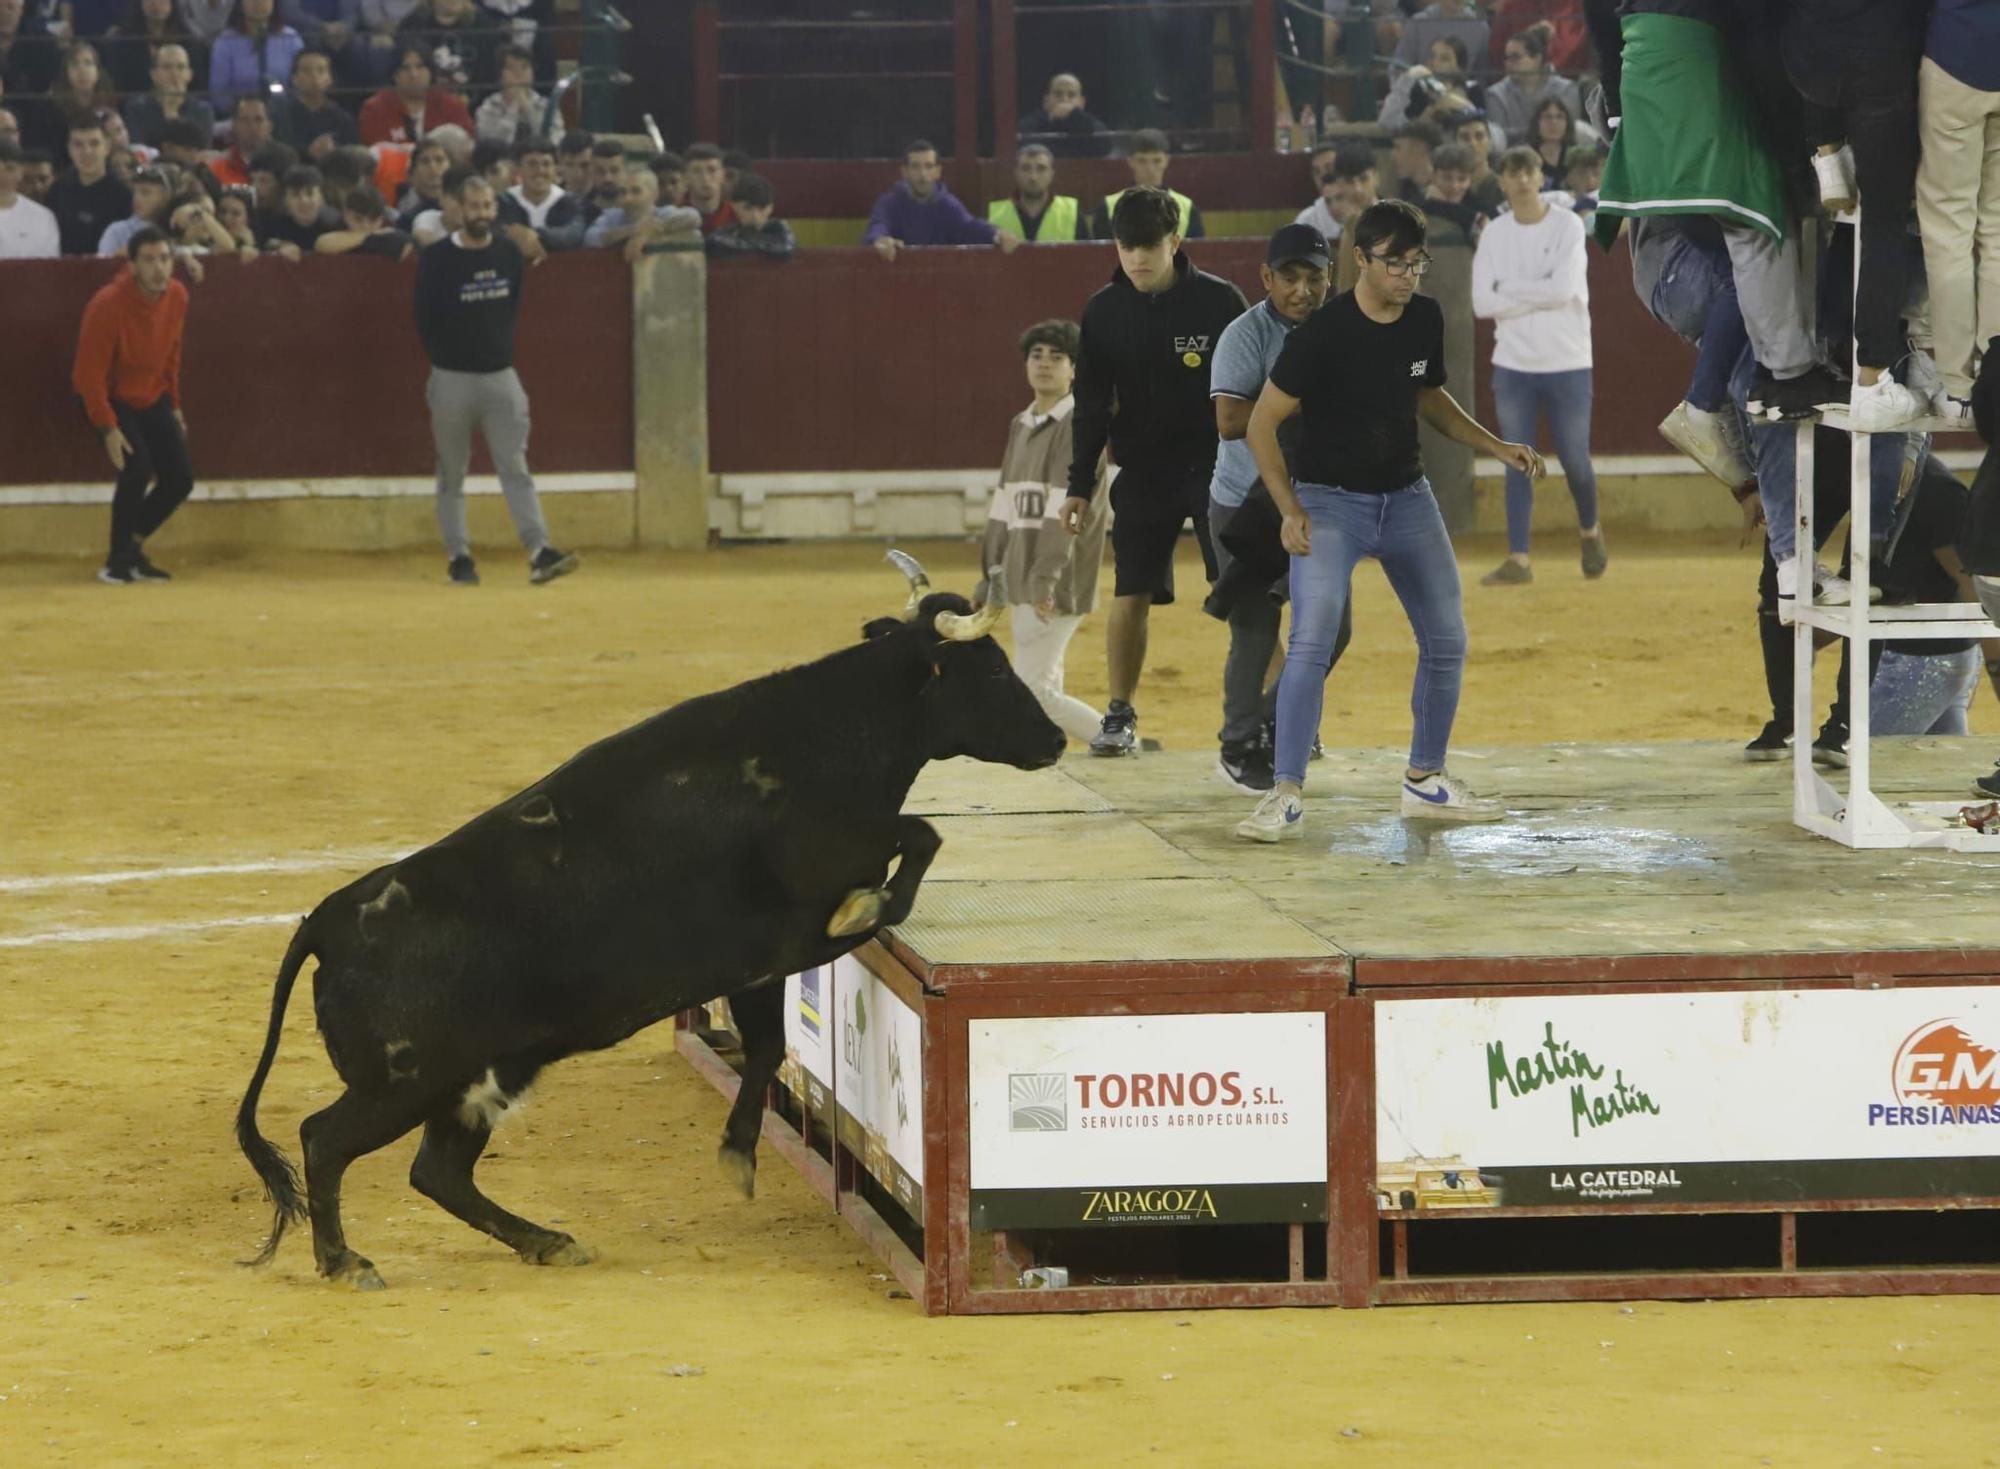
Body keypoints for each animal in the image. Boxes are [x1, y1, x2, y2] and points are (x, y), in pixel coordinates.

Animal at [234, 556, 1064, 1296]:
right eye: (993, 672)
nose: (1056, 740)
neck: (828, 733)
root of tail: (331, 921)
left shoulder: (761, 964)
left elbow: (768, 1046)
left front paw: (737, 1153)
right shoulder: (812, 893)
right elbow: (919, 835)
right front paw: (869, 906)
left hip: (483, 1073)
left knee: (437, 1169)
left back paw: (546, 1240)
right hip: (405, 1080)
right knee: (325, 1139)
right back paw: (347, 1261)